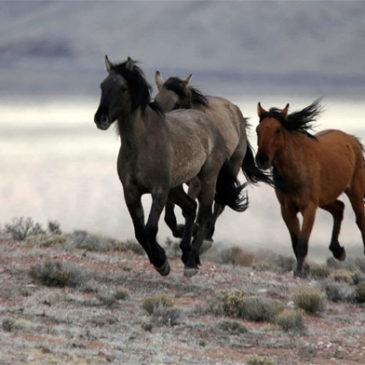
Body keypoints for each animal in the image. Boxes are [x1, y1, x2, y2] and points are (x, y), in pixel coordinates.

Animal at [94, 56, 247, 276]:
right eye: (102, 86)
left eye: (123, 88)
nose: (101, 118)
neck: (142, 144)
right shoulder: (131, 192)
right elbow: (140, 232)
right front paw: (160, 260)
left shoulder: (159, 190)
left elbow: (150, 229)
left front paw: (162, 262)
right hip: (176, 187)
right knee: (191, 208)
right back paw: (186, 250)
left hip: (207, 179)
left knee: (206, 214)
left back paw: (191, 261)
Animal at [155, 72, 272, 240]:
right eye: (155, 101)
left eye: (177, 104)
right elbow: (171, 211)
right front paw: (180, 229)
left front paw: (192, 229)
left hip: (232, 166)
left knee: (219, 202)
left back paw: (207, 233)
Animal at [255, 100, 364, 276]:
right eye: (258, 130)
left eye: (277, 130)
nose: (262, 159)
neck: (296, 169)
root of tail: (350, 139)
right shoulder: (287, 209)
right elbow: (295, 242)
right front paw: (304, 269)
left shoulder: (309, 207)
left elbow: (302, 244)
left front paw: (299, 272)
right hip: (325, 199)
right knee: (339, 208)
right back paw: (338, 251)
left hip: (355, 192)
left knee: (360, 220)